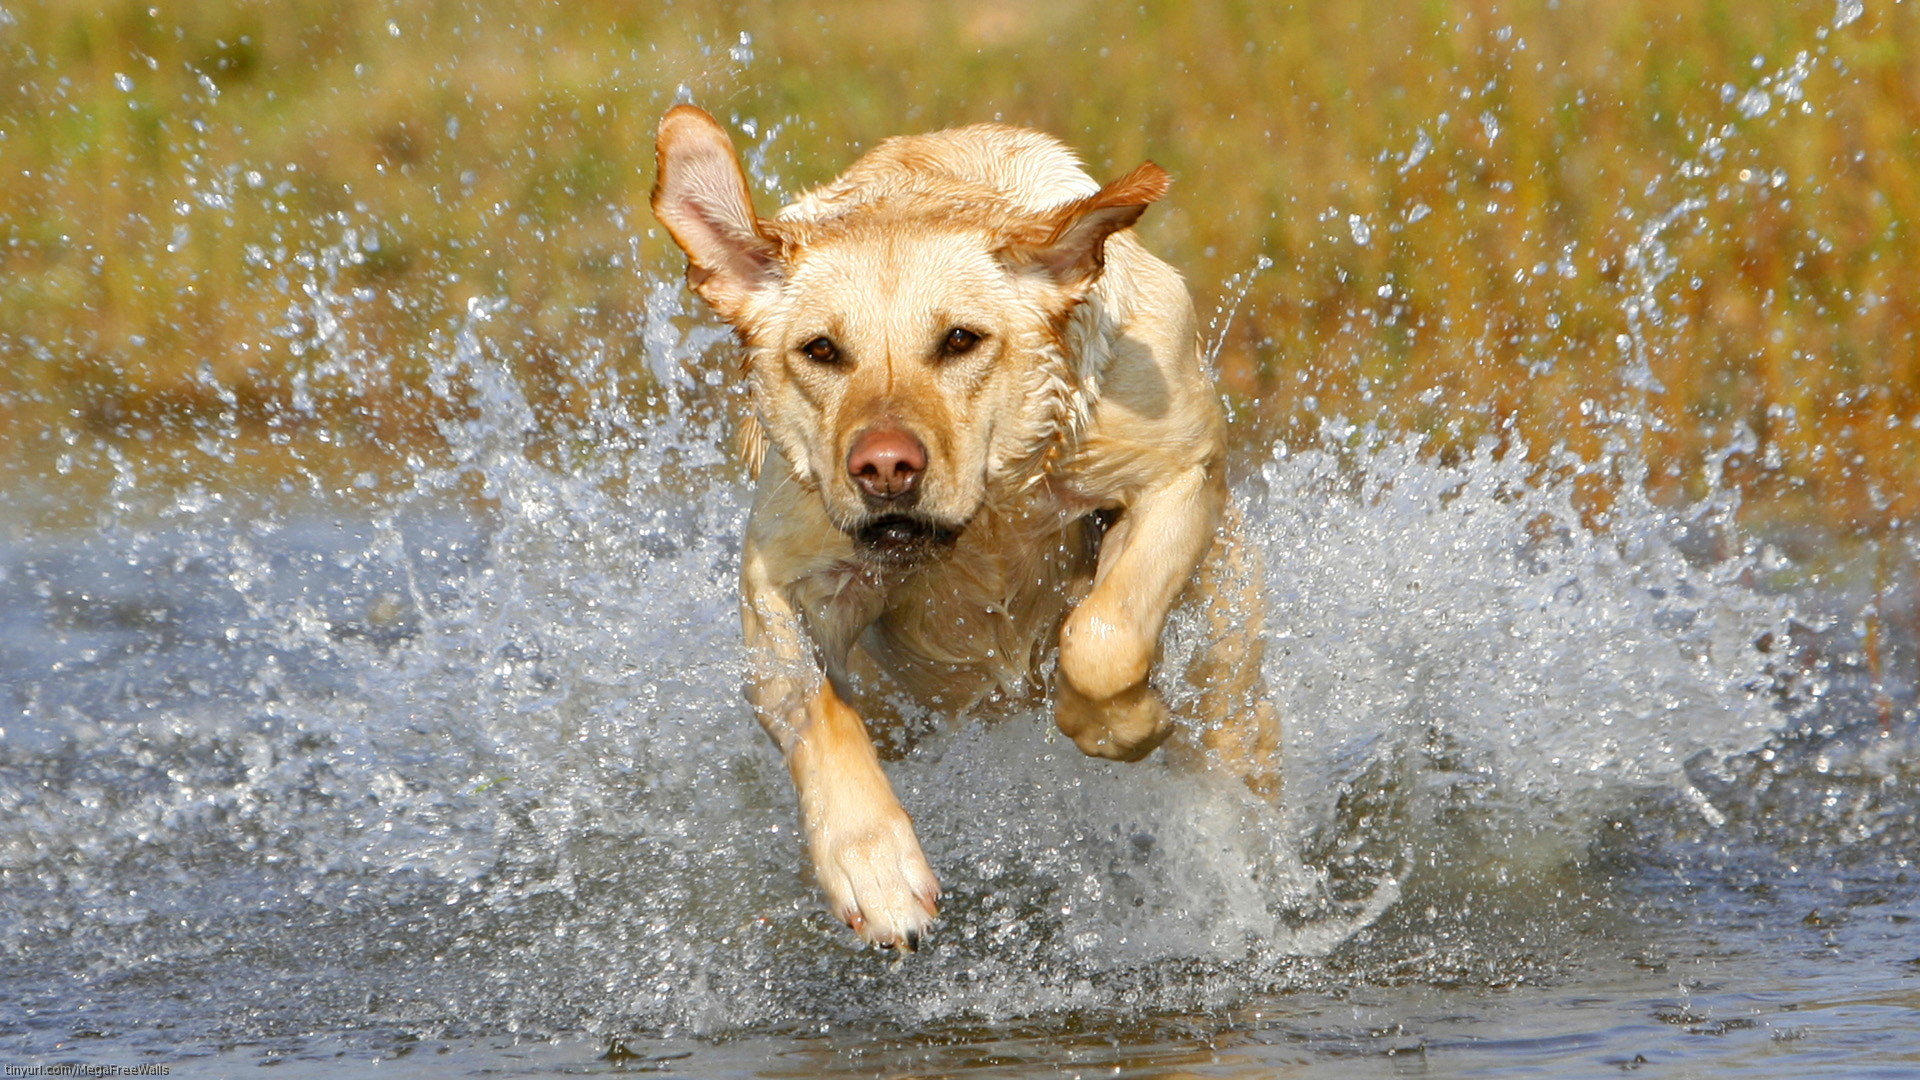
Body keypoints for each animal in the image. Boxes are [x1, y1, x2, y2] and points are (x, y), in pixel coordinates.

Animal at [652, 107, 1282, 949]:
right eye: (821, 350)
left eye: (960, 340)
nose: (884, 468)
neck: (987, 520)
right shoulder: (780, 569)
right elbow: (814, 709)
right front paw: (874, 868)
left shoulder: (1175, 474)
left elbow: (1103, 637)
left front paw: (1129, 721)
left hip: (1230, 677)